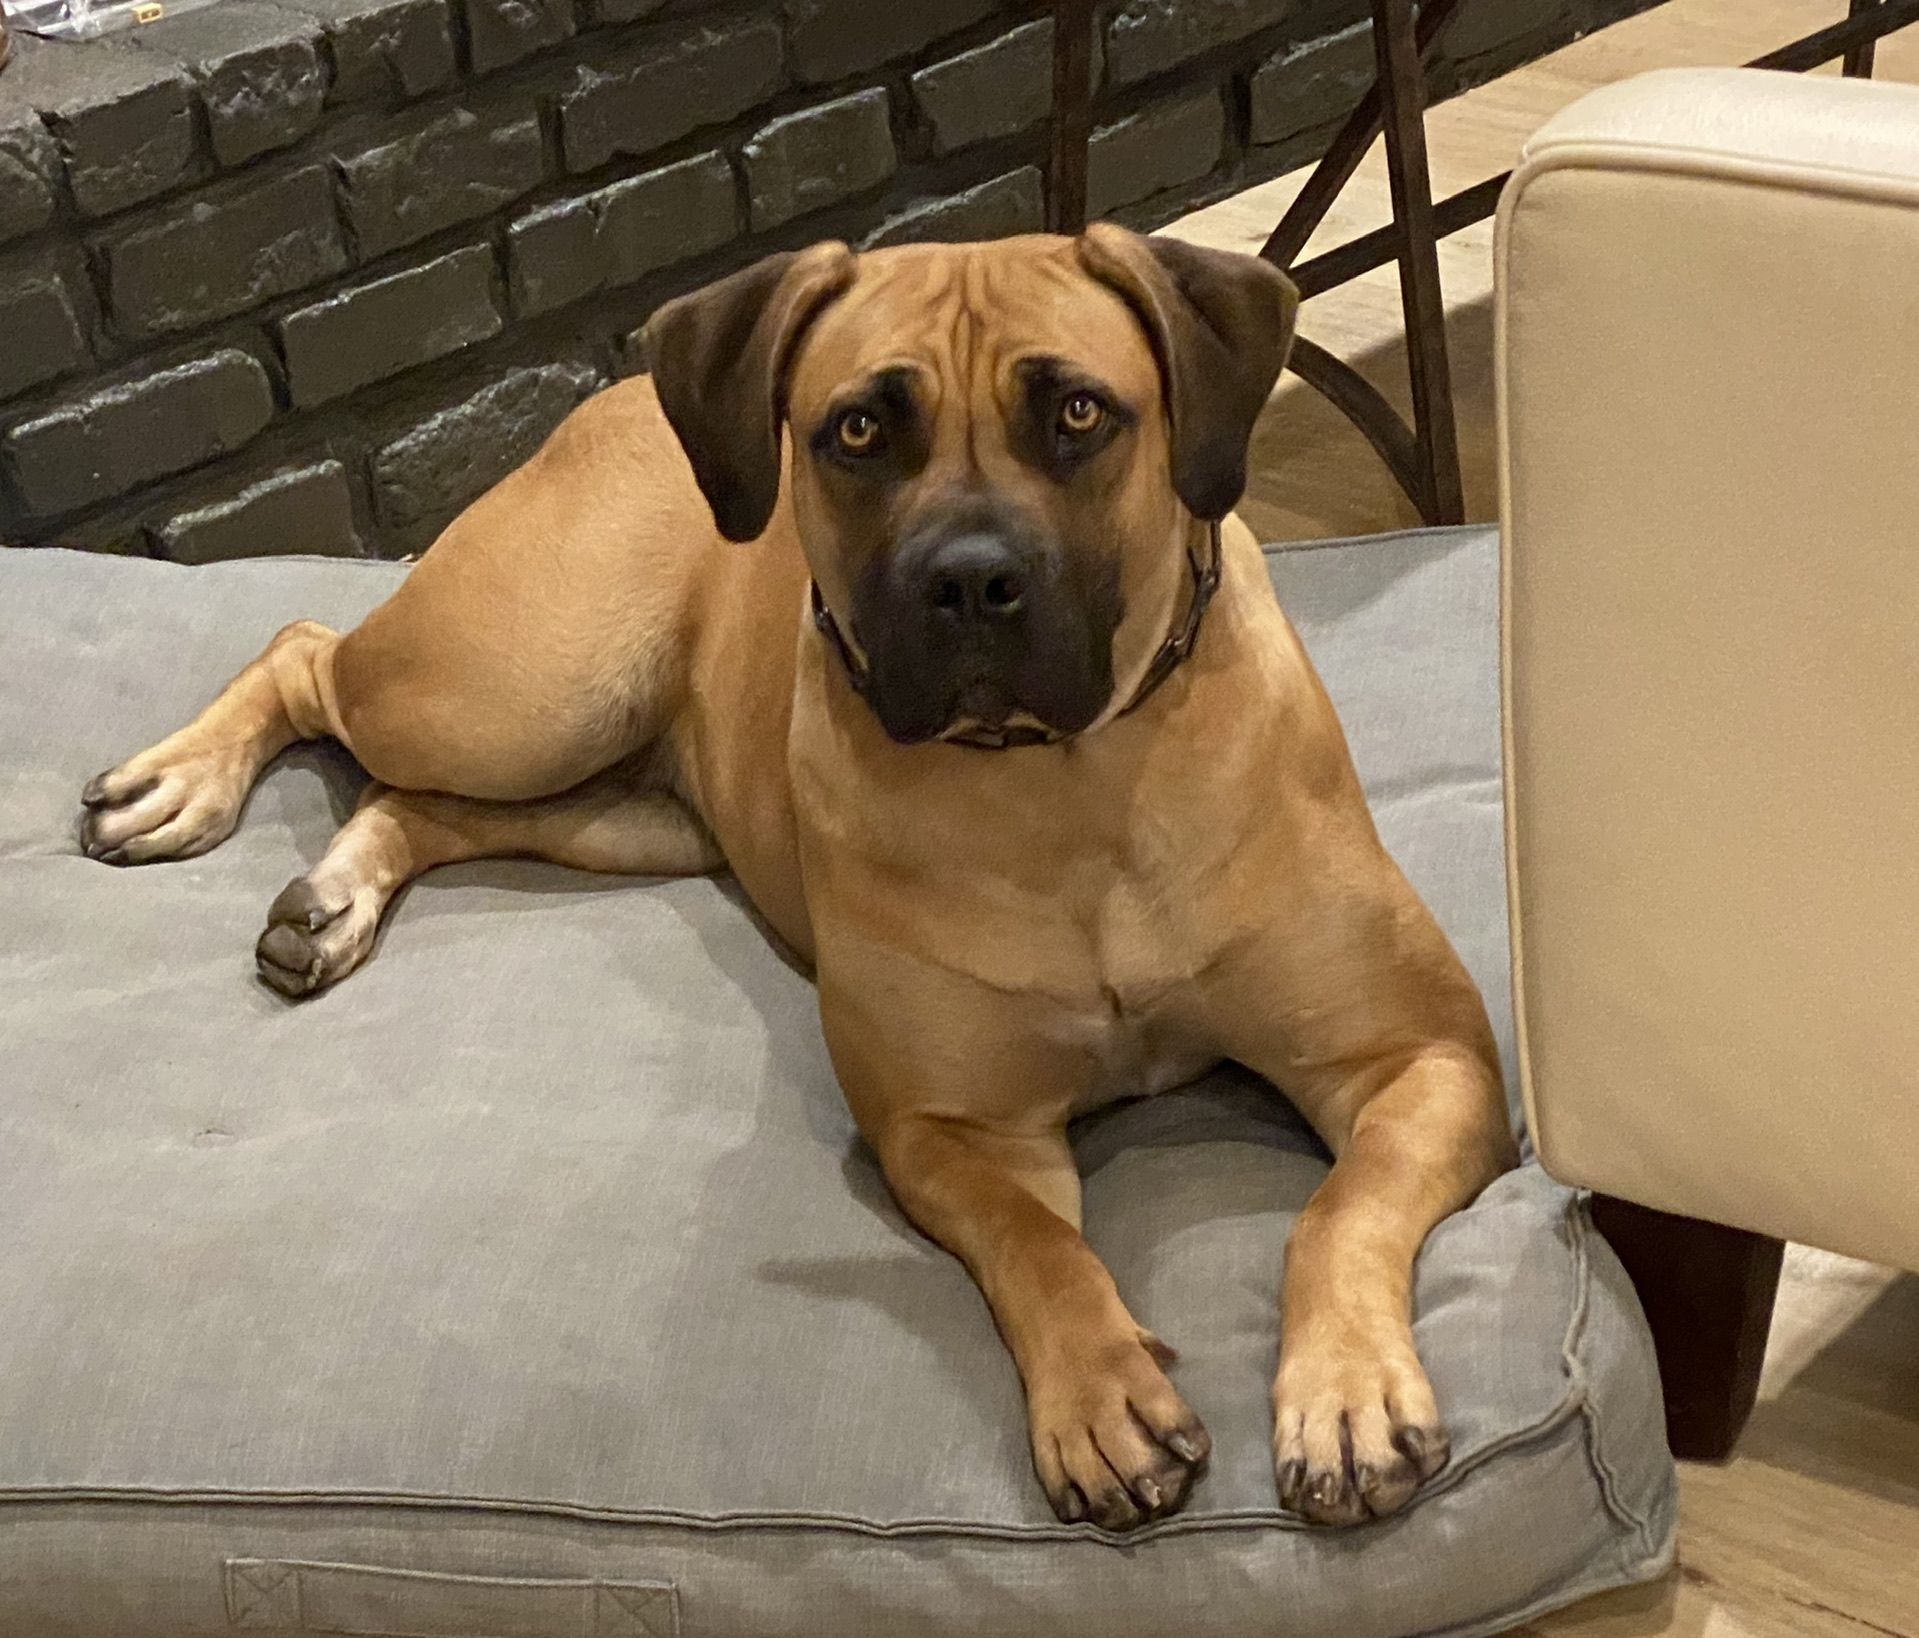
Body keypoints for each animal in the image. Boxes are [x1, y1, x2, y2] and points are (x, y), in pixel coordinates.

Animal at [74, 227, 1519, 1542]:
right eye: (859, 429)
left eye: (1076, 413)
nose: (968, 579)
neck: (1064, 786)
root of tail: (611, 398)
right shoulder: (951, 1130)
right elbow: (1042, 1251)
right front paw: (1100, 1396)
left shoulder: (1418, 1058)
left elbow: (1331, 1213)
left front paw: (1342, 1393)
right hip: (513, 690)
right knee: (306, 647)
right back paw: (182, 782)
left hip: (622, 806)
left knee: (407, 792)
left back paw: (329, 897)